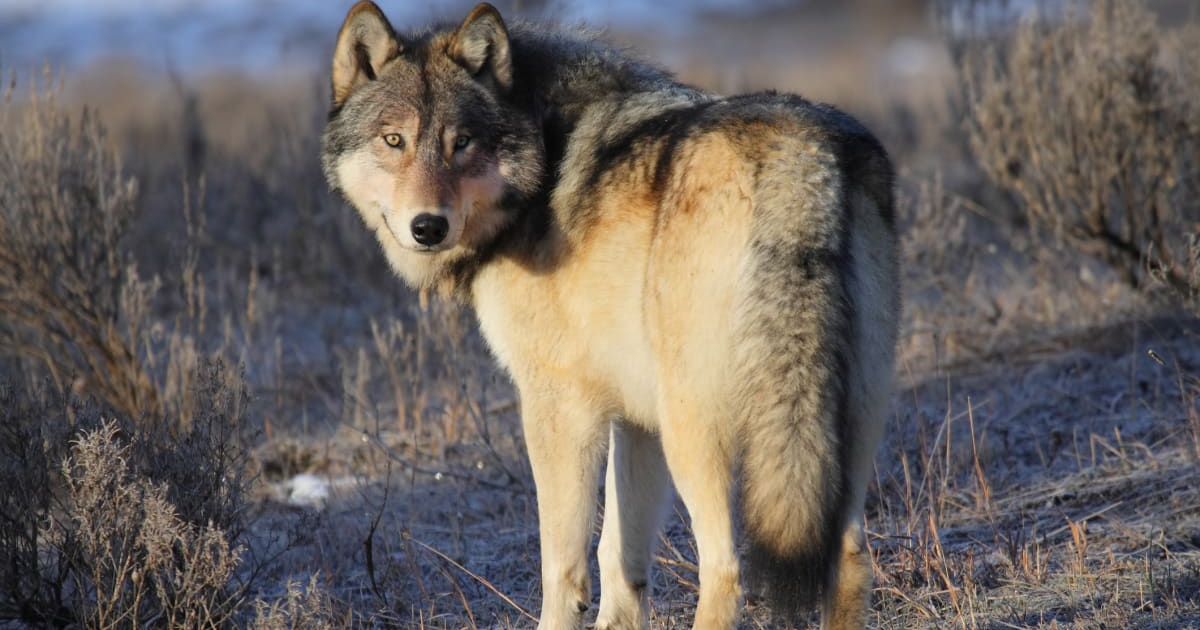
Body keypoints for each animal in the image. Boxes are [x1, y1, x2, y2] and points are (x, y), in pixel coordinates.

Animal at [321, 2, 899, 628]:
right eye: (394, 140)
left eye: (463, 142)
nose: (428, 226)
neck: (544, 154)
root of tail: (799, 156)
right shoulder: (635, 419)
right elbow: (619, 559)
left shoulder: (557, 403)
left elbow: (563, 566)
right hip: (843, 429)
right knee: (849, 556)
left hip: (694, 432)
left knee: (725, 569)